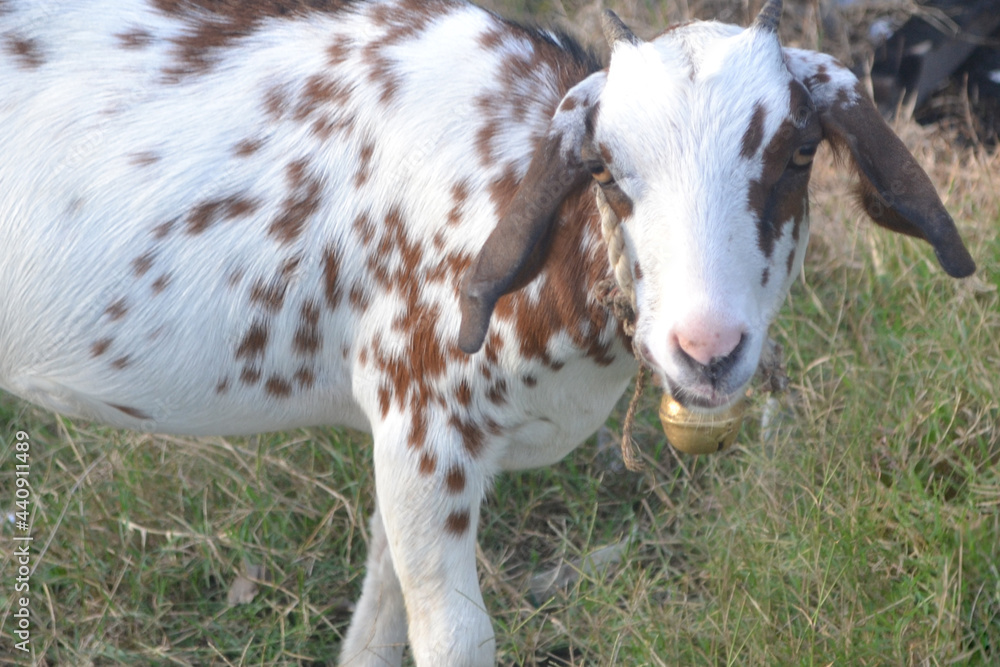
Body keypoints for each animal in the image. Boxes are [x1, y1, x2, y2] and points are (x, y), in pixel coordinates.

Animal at [0, 0, 975, 664]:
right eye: (604, 169)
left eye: (799, 154)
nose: (708, 349)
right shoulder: (423, 417)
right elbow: (452, 633)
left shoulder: (410, 446)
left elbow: (383, 607)